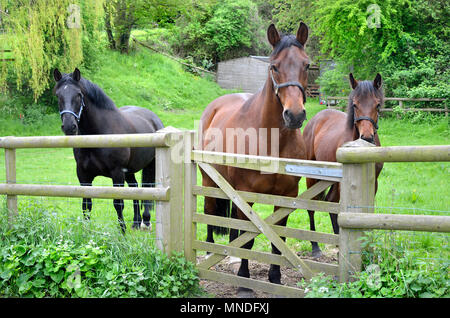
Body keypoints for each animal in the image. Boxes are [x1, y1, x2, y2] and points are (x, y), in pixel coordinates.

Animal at [52, 69, 164, 234]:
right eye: (58, 95)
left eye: (78, 94)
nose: (69, 126)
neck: (98, 136)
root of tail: (154, 118)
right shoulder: (83, 175)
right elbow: (86, 205)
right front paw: (87, 232)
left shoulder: (116, 173)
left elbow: (118, 203)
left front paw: (122, 233)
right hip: (129, 171)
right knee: (135, 188)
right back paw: (136, 222)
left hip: (150, 165)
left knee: (147, 189)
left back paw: (146, 221)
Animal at [200, 21, 310, 290]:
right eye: (274, 66)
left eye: (306, 64)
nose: (295, 115)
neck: (271, 141)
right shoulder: (246, 194)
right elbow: (248, 240)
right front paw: (244, 281)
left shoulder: (286, 197)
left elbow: (278, 240)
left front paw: (275, 277)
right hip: (209, 182)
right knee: (209, 212)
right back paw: (210, 251)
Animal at [302, 73, 384, 258]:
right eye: (355, 104)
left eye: (377, 104)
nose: (366, 137)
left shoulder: (374, 183)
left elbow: (368, 212)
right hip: (313, 177)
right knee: (312, 206)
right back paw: (315, 246)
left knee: (331, 202)